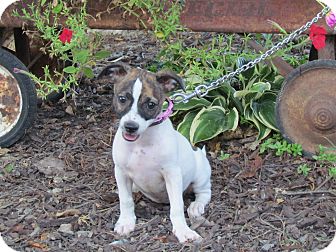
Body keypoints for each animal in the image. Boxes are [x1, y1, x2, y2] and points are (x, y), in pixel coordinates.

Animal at [98, 62, 211, 243]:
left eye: (151, 104)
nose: (130, 127)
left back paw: (196, 206)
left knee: (204, 192)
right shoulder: (121, 171)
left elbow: (177, 206)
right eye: (122, 99)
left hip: (200, 174)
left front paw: (182, 230)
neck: (141, 143)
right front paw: (126, 222)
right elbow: (126, 200)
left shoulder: (172, 174)